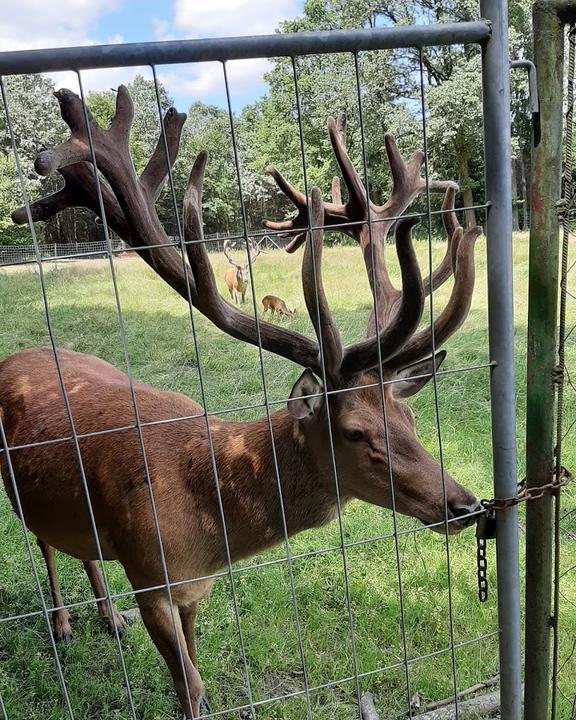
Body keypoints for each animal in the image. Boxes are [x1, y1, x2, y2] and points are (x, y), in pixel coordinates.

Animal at [4, 87, 482, 716]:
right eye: (355, 431)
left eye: (408, 415)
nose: (466, 505)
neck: (209, 533)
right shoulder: (149, 575)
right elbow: (190, 687)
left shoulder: (191, 588)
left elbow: (197, 667)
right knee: (43, 541)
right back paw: (61, 622)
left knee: (77, 544)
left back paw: (108, 617)